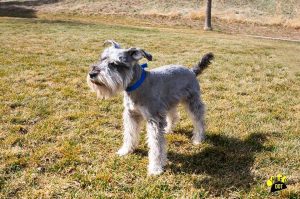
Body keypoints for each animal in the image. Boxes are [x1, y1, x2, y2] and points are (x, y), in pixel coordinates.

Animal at [86, 40, 213, 176]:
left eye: (114, 64)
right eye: (102, 59)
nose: (92, 74)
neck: (137, 86)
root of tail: (191, 71)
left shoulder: (154, 119)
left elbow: (156, 145)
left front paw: (155, 168)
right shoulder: (131, 115)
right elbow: (129, 133)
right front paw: (126, 150)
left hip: (192, 102)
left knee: (199, 120)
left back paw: (198, 138)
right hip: (169, 103)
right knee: (173, 116)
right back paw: (168, 129)